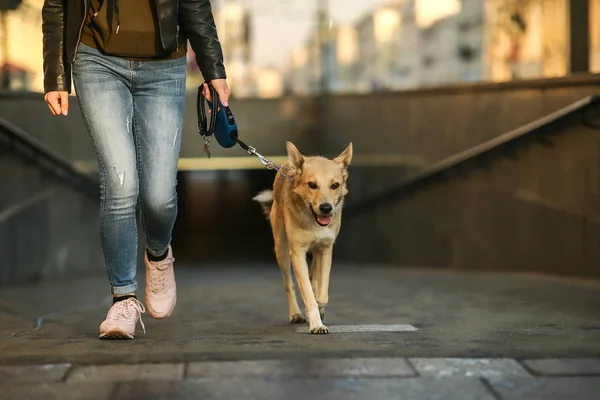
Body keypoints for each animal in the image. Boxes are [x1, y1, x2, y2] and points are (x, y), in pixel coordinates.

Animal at [252, 141, 352, 334]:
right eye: (312, 184)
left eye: (335, 185)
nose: (326, 208)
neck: (314, 221)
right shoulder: (297, 253)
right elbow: (307, 292)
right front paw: (316, 323)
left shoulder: (326, 249)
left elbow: (322, 290)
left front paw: (320, 305)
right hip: (282, 250)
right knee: (289, 283)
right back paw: (296, 314)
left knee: (314, 275)